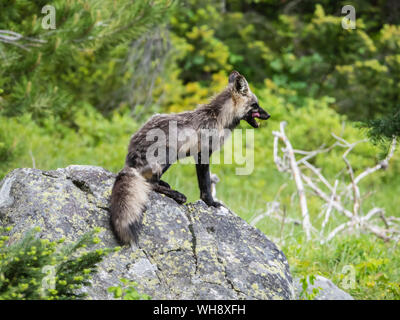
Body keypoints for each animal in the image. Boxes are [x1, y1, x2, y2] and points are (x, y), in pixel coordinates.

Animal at [111, 70, 270, 245]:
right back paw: (176, 194)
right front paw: (211, 203)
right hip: (169, 154)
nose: (268, 115)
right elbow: (205, 184)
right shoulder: (203, 154)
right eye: (255, 105)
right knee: (150, 184)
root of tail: (130, 159)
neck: (218, 118)